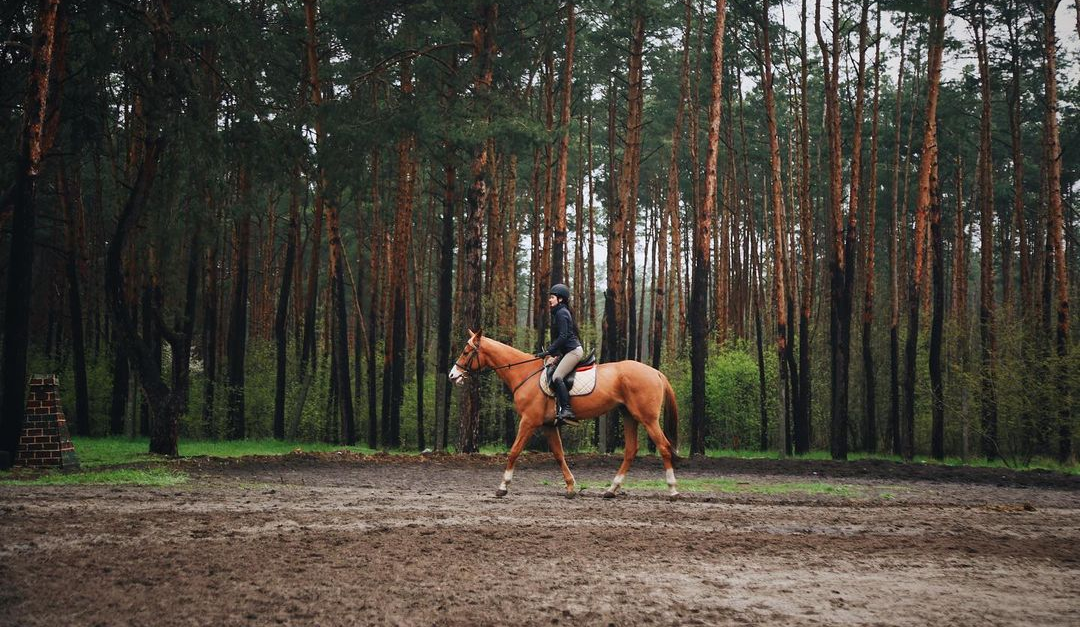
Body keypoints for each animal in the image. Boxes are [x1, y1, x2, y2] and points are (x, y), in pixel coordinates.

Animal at [444, 328, 673, 498]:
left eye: (466, 352)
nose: (453, 375)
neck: (524, 373)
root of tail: (655, 372)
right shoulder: (548, 425)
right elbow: (558, 454)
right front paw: (571, 487)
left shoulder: (528, 421)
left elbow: (514, 451)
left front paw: (503, 486)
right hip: (629, 416)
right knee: (631, 451)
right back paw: (611, 490)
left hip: (648, 419)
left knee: (663, 446)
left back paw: (672, 490)